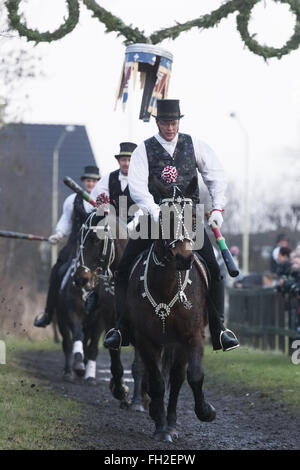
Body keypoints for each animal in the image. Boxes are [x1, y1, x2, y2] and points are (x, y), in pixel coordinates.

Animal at [126, 178, 216, 442]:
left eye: (194, 217)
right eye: (165, 218)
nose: (184, 258)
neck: (166, 288)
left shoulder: (192, 337)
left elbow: (192, 376)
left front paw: (205, 411)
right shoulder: (146, 339)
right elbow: (156, 382)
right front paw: (159, 425)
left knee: (176, 379)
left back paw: (173, 423)